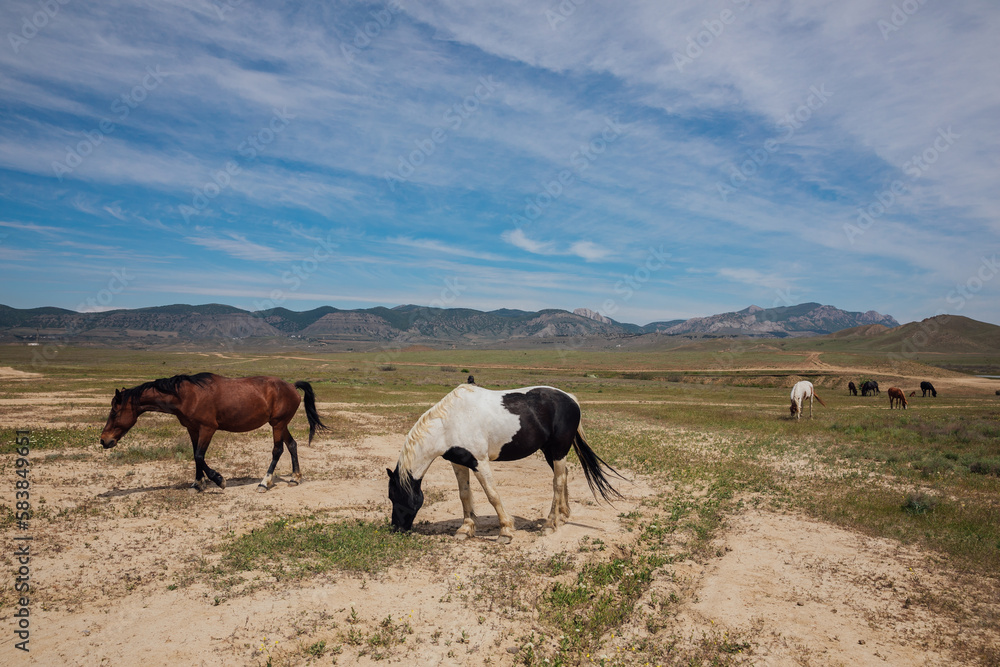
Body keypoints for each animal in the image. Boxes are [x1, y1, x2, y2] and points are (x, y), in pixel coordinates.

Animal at [100, 373, 326, 492]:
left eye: (114, 411)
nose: (104, 440)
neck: (187, 396)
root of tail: (291, 386)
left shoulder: (208, 428)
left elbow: (200, 455)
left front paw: (218, 479)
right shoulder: (193, 429)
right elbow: (195, 456)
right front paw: (197, 483)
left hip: (277, 424)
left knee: (277, 450)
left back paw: (264, 482)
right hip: (280, 424)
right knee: (292, 445)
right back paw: (295, 477)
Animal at [387, 383, 624, 543]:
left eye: (394, 495)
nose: (396, 528)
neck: (449, 424)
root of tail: (571, 399)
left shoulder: (479, 462)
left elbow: (492, 495)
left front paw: (506, 531)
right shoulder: (459, 463)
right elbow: (464, 494)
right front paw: (465, 529)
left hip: (558, 450)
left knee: (557, 482)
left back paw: (549, 525)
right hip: (550, 452)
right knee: (563, 476)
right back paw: (563, 516)